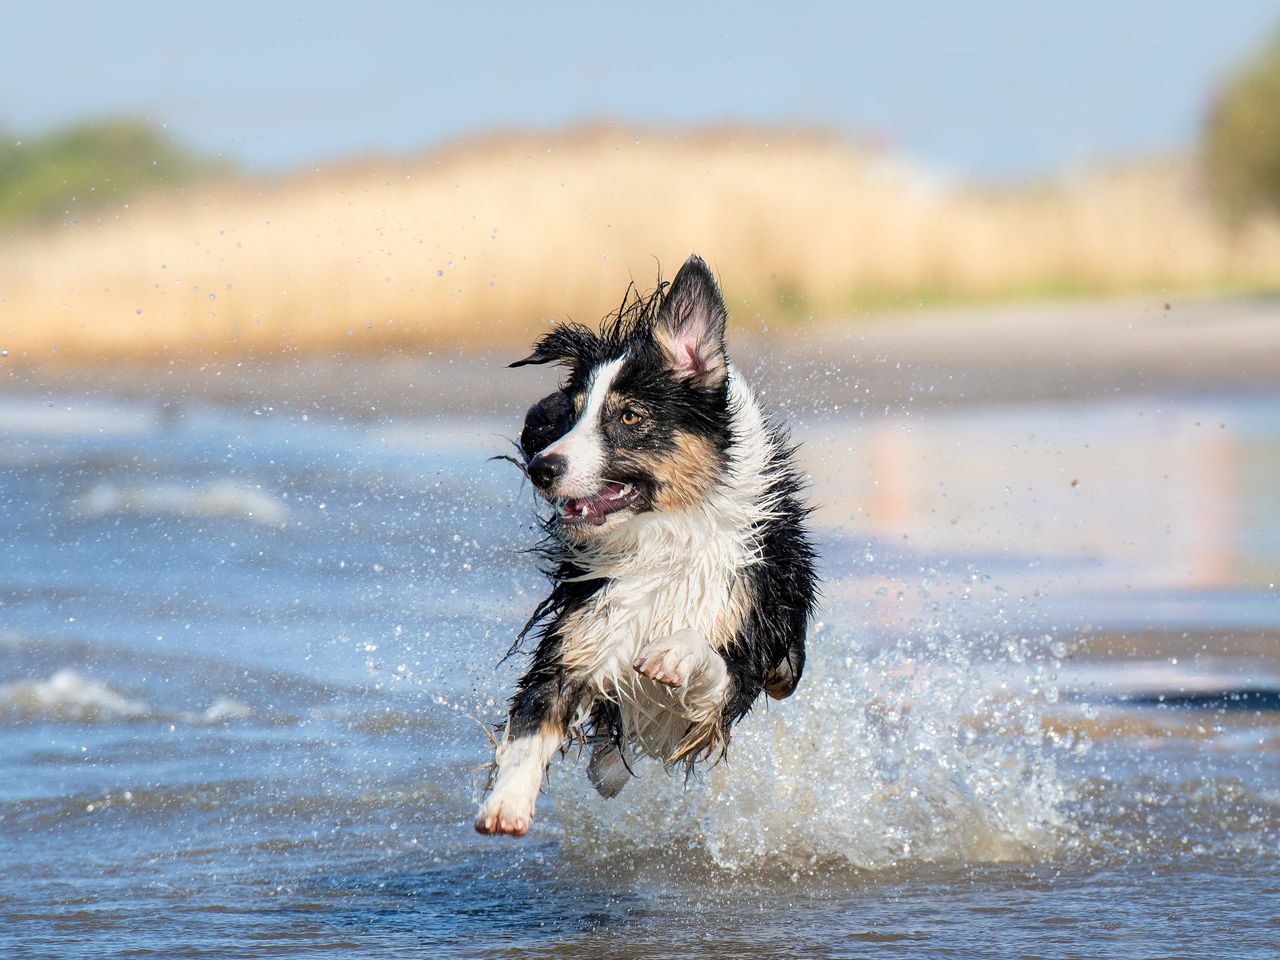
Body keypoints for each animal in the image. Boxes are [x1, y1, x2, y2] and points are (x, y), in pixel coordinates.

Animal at [476, 253, 814, 834]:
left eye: (629, 416)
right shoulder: (583, 629)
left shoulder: (737, 667)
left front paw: (674, 655)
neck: (663, 536)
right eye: (570, 415)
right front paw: (506, 803)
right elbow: (530, 725)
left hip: (786, 653)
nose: (542, 468)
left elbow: (709, 663)